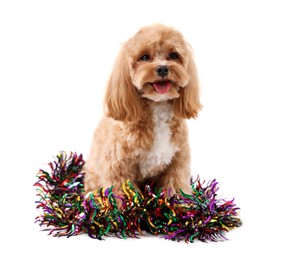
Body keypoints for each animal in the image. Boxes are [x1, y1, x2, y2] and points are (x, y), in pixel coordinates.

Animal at [83, 24, 201, 199]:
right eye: (145, 57)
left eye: (173, 55)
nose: (162, 68)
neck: (157, 106)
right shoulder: (118, 168)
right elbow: (122, 196)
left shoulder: (177, 162)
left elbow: (176, 188)